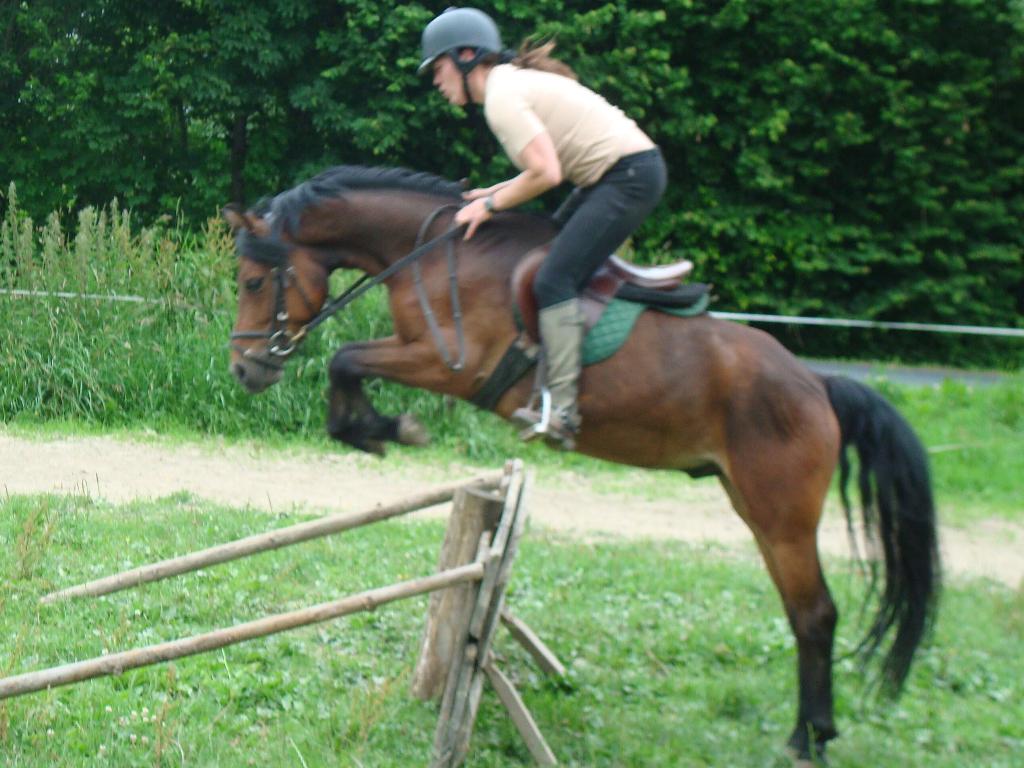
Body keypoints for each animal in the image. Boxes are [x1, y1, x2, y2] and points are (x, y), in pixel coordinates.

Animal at [224, 165, 937, 765]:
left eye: (254, 282)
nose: (246, 369)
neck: (434, 254)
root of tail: (818, 384)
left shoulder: (450, 363)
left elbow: (345, 356)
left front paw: (384, 429)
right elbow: (347, 361)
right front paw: (368, 428)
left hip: (781, 514)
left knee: (815, 615)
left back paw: (808, 739)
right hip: (752, 503)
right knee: (804, 613)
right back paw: (813, 731)